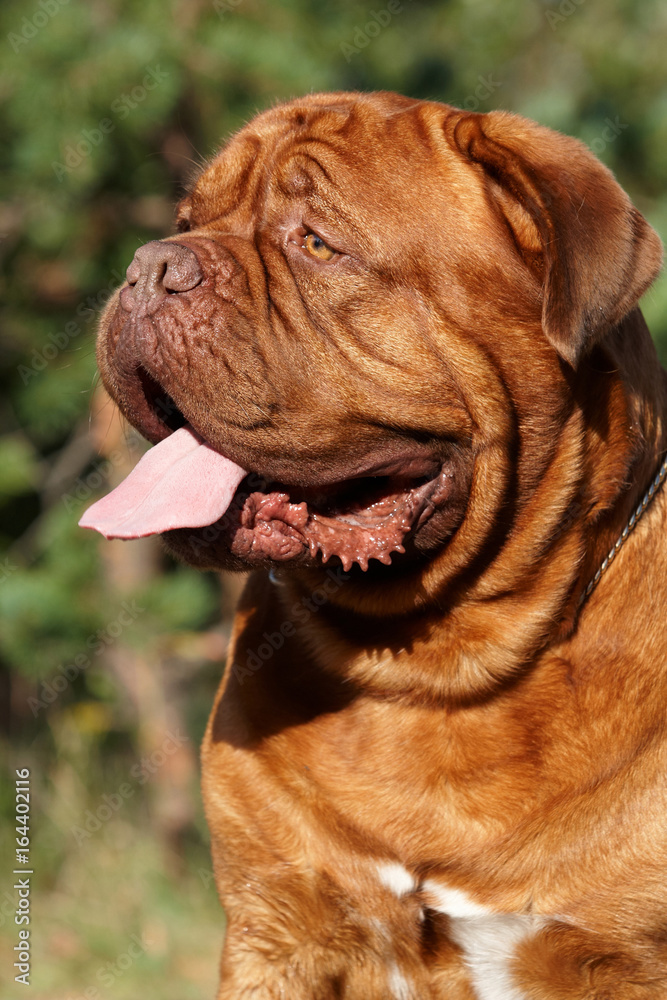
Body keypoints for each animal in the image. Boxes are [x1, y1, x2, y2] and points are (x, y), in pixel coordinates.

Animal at [79, 90, 667, 996]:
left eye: (317, 243)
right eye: (186, 221)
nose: (150, 265)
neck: (433, 672)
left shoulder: (621, 955)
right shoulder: (276, 932)